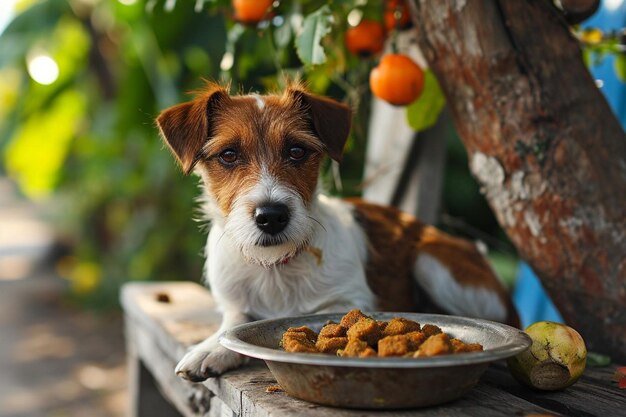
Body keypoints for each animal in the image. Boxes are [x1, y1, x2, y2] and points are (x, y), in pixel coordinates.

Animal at [156, 81, 516, 380]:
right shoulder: (233, 302)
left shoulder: (351, 297)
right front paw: (210, 348)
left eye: (297, 151)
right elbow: (233, 323)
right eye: (229, 155)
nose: (271, 216)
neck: (276, 268)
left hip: (431, 262)